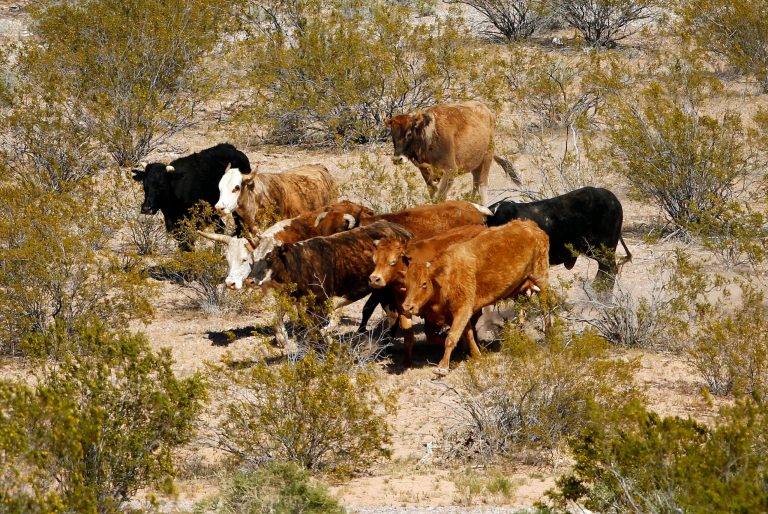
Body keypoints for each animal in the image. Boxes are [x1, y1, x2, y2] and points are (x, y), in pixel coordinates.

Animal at [369, 224, 487, 367]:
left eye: (392, 262)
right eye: (374, 260)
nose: (374, 279)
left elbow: (434, 335)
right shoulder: (404, 308)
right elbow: (409, 336)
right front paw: (407, 362)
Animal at [386, 101, 520, 204]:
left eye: (409, 133)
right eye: (392, 134)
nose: (397, 159)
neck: (428, 135)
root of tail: (486, 111)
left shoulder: (450, 170)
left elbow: (440, 198)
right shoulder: (425, 173)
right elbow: (433, 196)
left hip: (487, 158)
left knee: (482, 185)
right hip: (475, 164)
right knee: (475, 183)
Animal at [401, 219, 549, 375]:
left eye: (423, 283)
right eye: (406, 284)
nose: (407, 307)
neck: (446, 276)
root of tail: (530, 225)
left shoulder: (463, 309)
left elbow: (451, 337)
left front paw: (442, 367)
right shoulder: (461, 313)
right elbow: (468, 334)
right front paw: (477, 355)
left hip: (541, 279)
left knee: (546, 308)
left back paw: (549, 335)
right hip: (521, 291)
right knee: (522, 312)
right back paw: (521, 336)